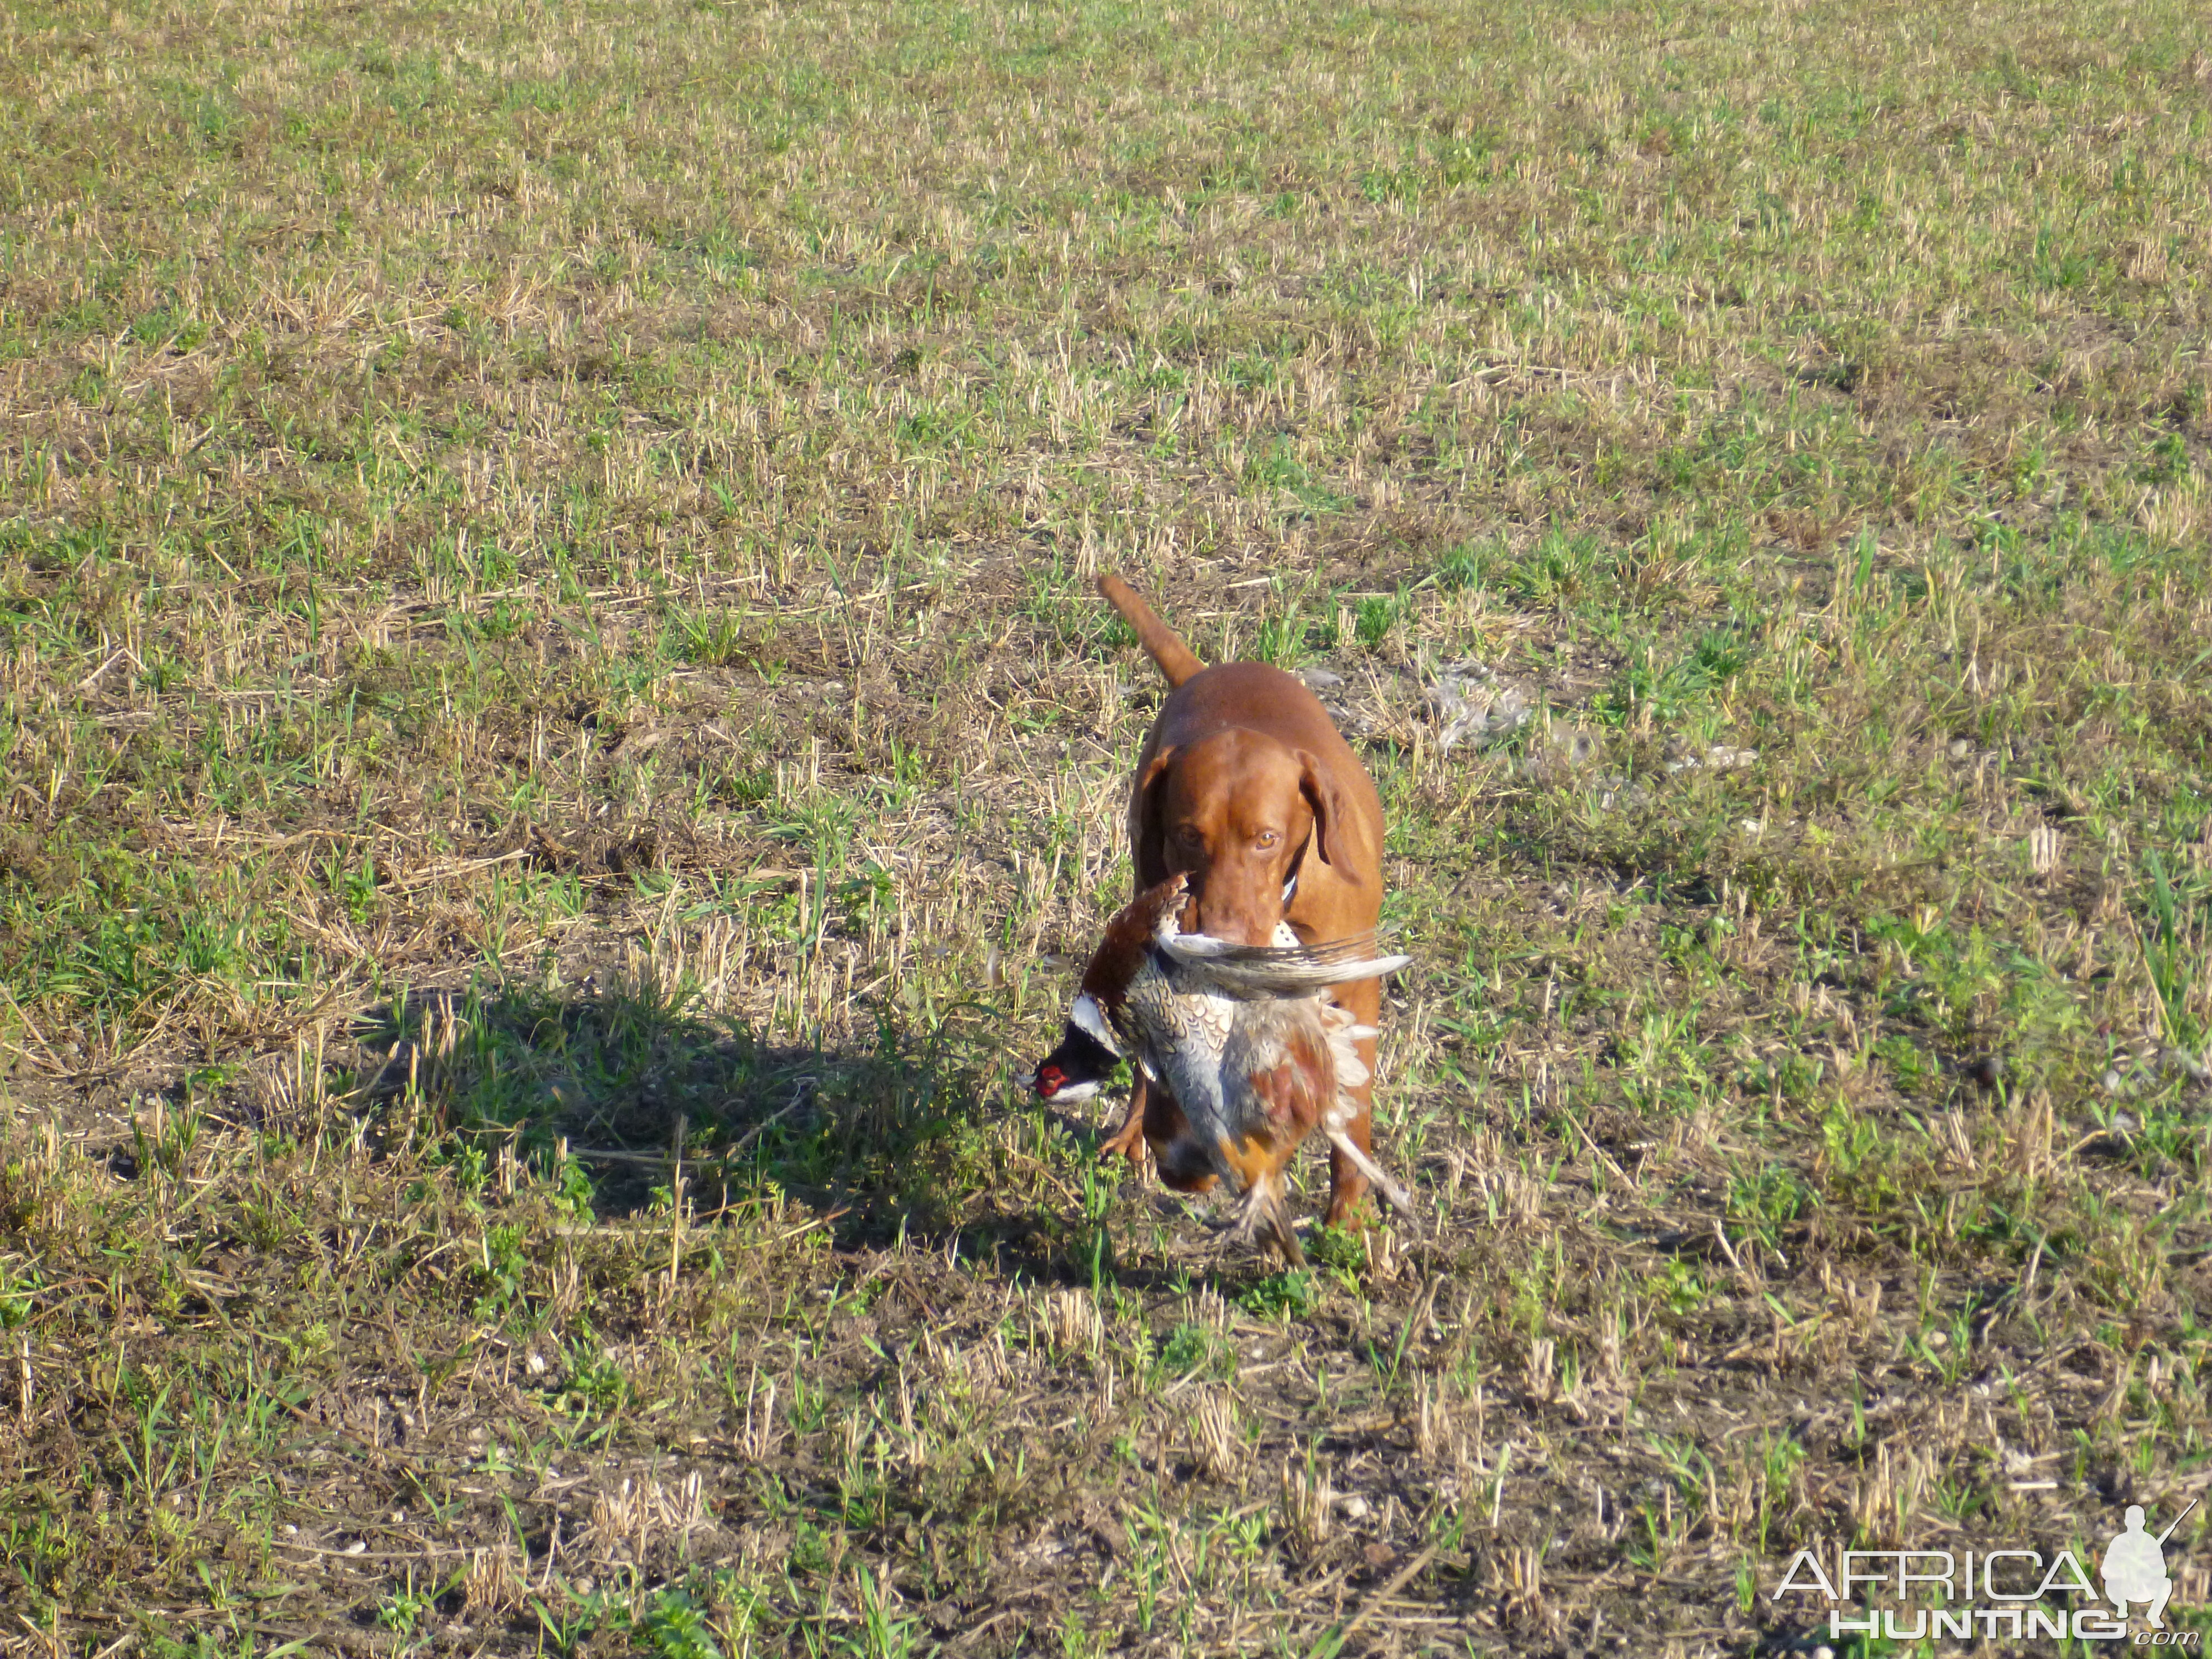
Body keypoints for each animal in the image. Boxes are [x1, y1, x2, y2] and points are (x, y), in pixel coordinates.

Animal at [1097, 580, 1389, 1230]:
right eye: (1187, 835)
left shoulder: (1356, 991)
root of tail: (1208, 671)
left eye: (1266, 839)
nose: (1219, 939)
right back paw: (1134, 1132)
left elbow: (1353, 1114)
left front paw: (1348, 1217)